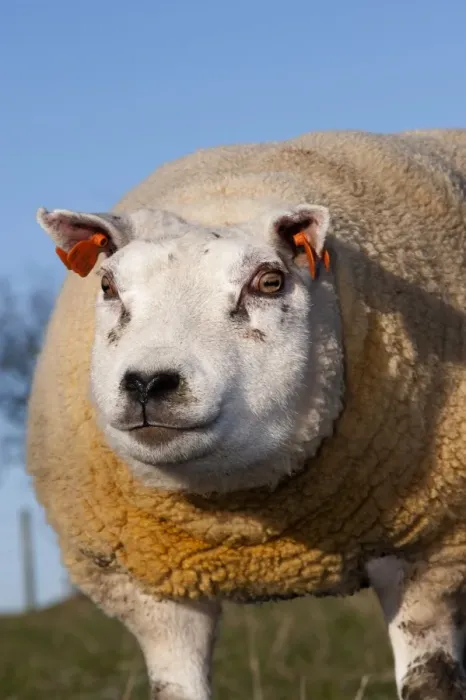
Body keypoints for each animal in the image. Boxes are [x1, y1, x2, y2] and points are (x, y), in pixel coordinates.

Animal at [27, 128, 465, 700]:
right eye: (107, 286)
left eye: (270, 283)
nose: (147, 383)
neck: (247, 531)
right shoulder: (153, 594)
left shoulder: (427, 554)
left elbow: (431, 681)